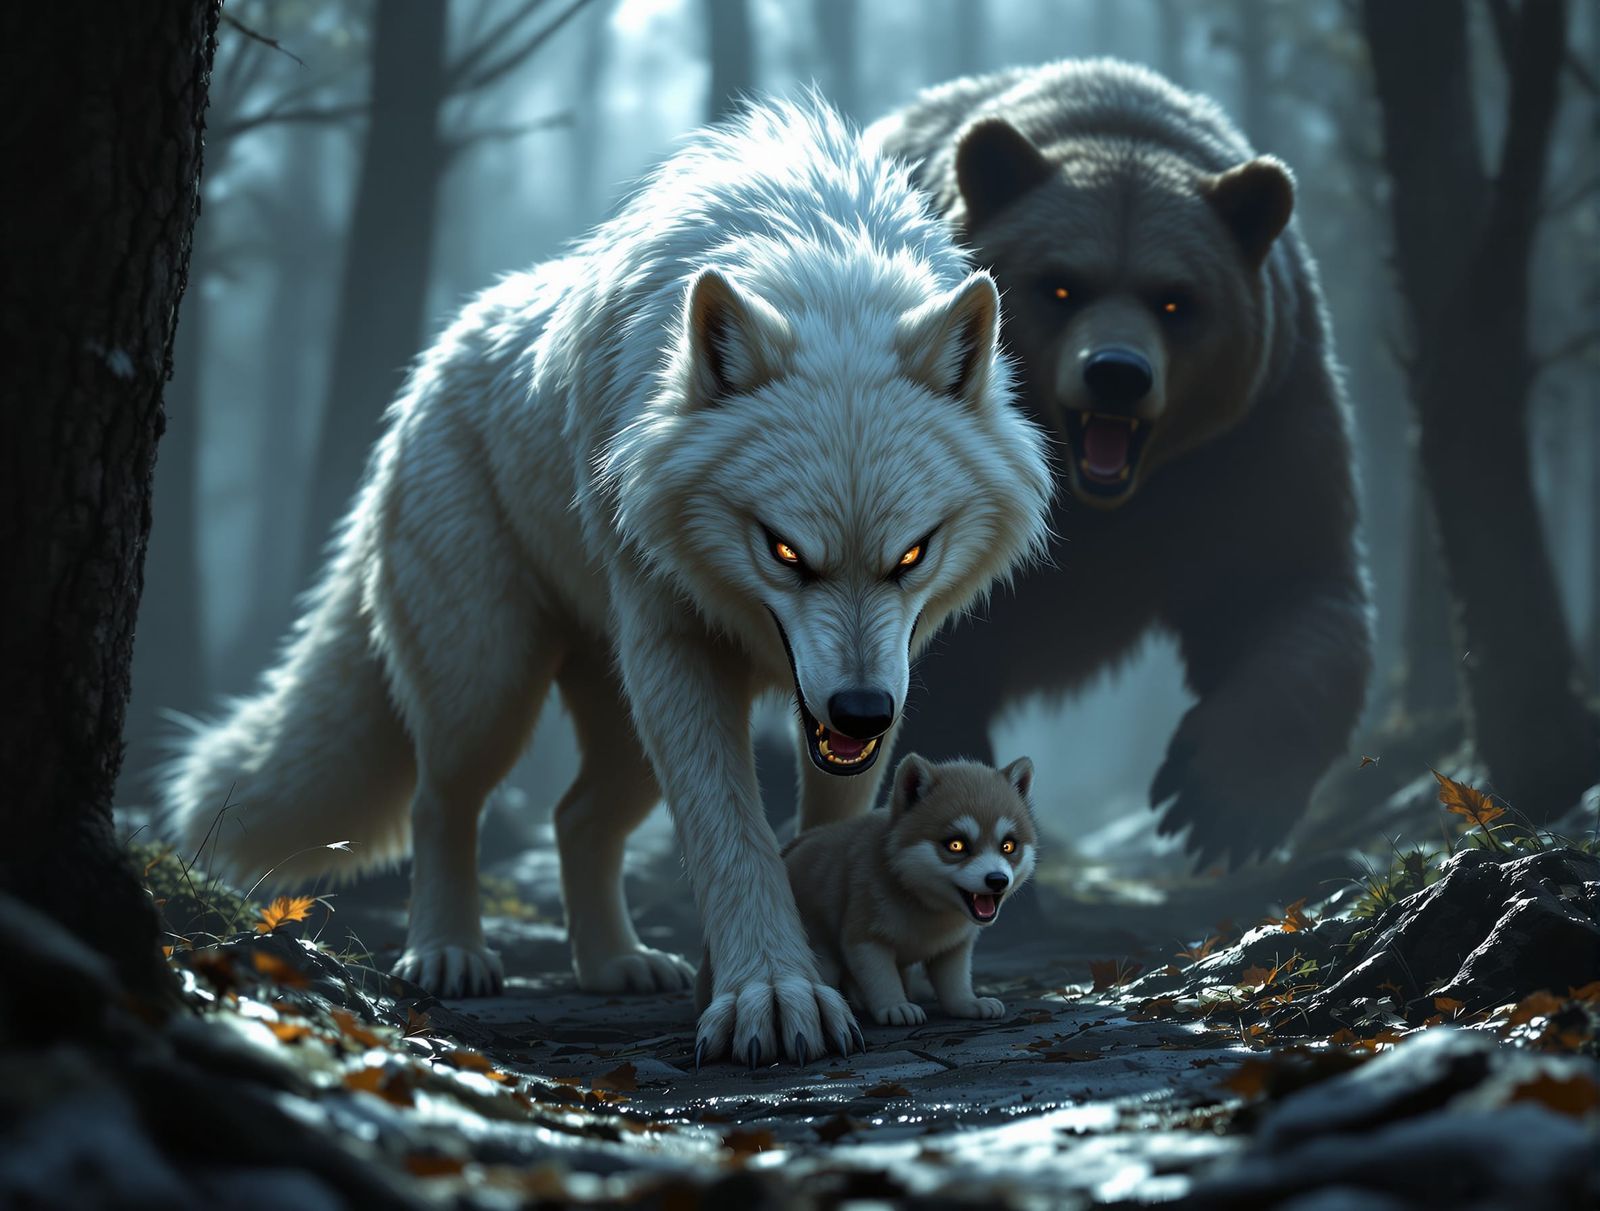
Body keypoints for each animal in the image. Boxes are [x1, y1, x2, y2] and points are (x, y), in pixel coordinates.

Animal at [700, 754, 1036, 1029]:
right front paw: (895, 1006)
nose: (997, 880)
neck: (923, 904)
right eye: (956, 845)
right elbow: (881, 978)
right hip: (820, 955)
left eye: (1008, 846)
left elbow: (954, 982)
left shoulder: (953, 947)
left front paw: (968, 1004)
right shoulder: (863, 937)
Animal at [867, 60, 1373, 867]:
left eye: (1176, 299)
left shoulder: (1253, 432)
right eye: (1060, 284)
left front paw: (1215, 802)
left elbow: (1286, 584)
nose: (1116, 372)